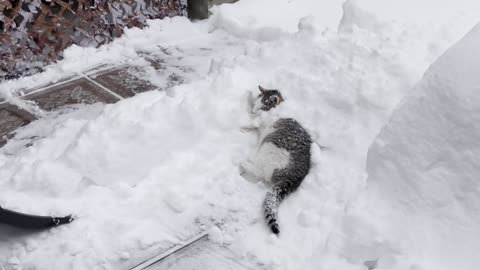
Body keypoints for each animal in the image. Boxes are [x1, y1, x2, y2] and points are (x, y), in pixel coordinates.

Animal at [244, 85, 312, 234]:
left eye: (263, 107)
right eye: (255, 105)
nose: (254, 111)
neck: (280, 108)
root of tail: (293, 178)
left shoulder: (264, 121)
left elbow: (254, 123)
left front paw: (243, 124)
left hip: (270, 146)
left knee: (260, 172)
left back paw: (242, 162)